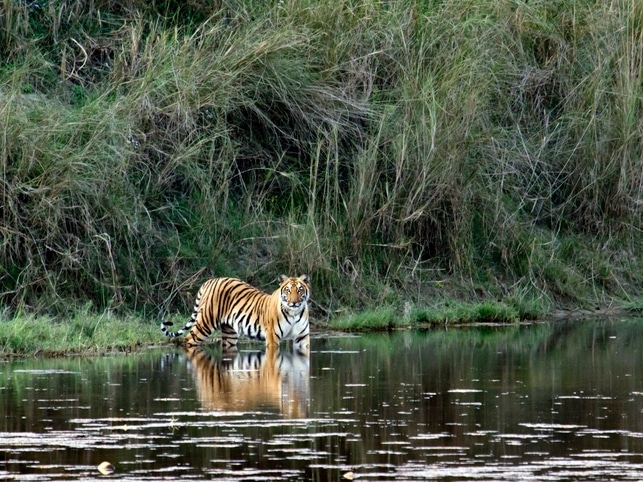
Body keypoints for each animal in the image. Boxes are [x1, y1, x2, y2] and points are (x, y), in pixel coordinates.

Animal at [161, 274, 311, 355]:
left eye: (300, 290)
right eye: (288, 290)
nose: (294, 303)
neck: (294, 313)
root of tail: (209, 281)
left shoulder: (302, 338)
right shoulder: (273, 337)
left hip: (229, 333)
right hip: (205, 323)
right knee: (187, 340)